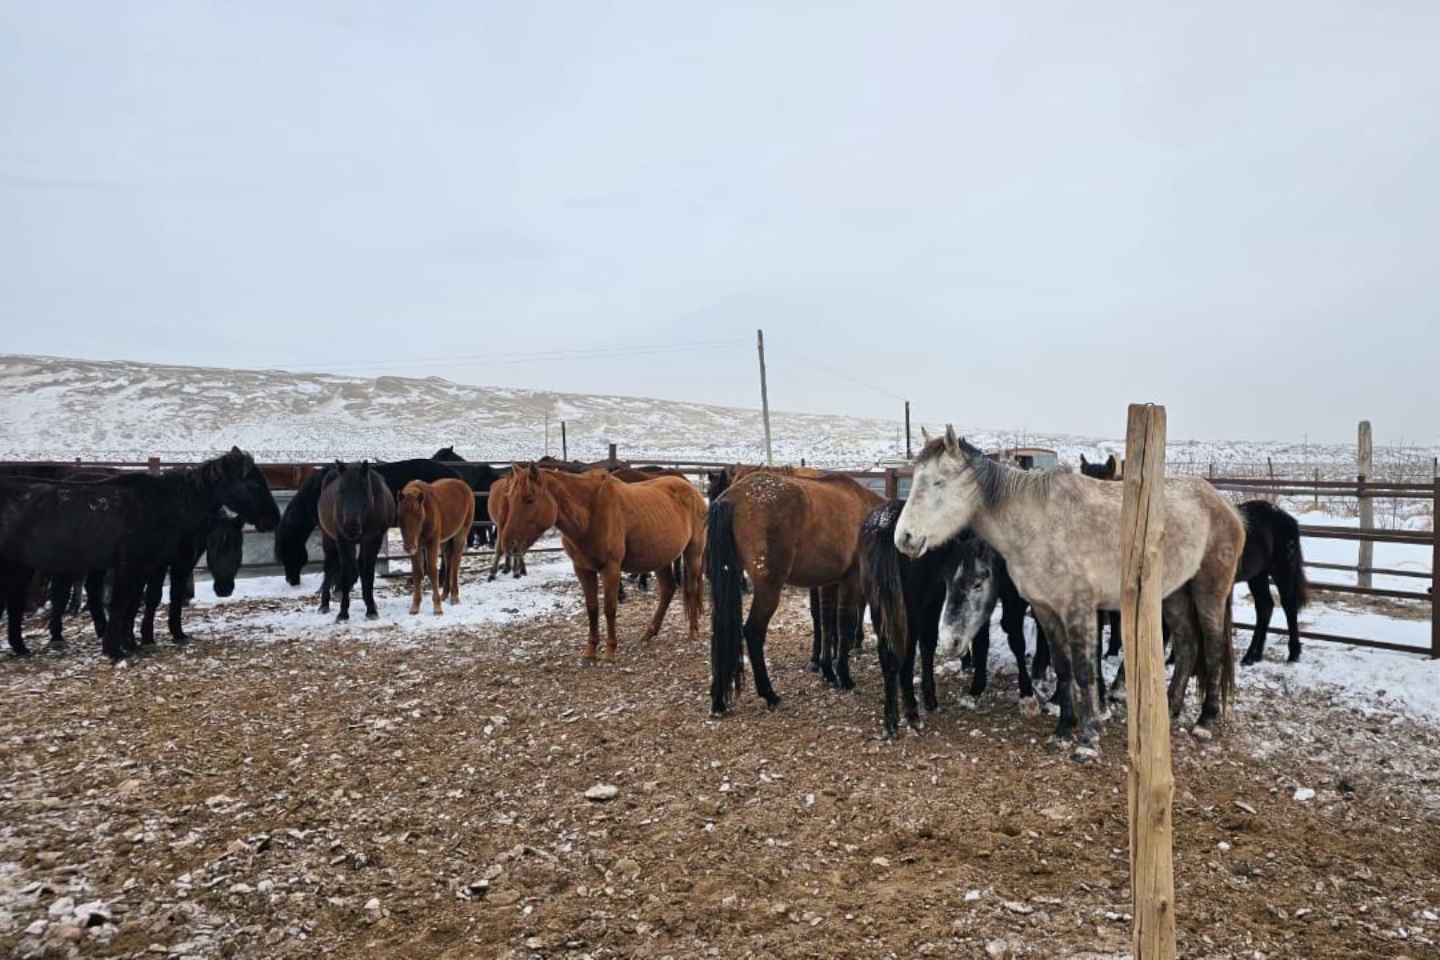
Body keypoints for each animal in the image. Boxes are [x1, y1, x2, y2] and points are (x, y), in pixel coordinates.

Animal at [315, 463, 394, 624]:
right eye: (341, 491)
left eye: (364, 491)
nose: (351, 526)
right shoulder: (344, 541)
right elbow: (346, 571)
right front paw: (343, 613)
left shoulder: (372, 540)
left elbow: (367, 572)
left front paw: (371, 609)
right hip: (329, 539)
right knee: (329, 567)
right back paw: (324, 604)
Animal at [397, 477, 475, 616]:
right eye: (400, 517)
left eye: (419, 516)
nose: (409, 547)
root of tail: (464, 485)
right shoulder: (418, 547)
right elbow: (417, 572)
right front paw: (415, 606)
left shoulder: (432, 543)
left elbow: (432, 571)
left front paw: (437, 607)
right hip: (445, 541)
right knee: (448, 561)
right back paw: (445, 594)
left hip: (461, 534)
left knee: (455, 563)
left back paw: (454, 596)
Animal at [506, 463, 708, 662]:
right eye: (510, 498)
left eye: (529, 499)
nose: (510, 544)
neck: (590, 514)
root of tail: (692, 489)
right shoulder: (583, 569)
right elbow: (592, 608)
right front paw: (590, 650)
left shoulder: (611, 569)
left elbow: (609, 608)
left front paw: (610, 651)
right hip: (661, 558)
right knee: (667, 590)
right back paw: (649, 633)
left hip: (693, 552)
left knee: (691, 588)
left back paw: (693, 632)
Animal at [705, 469, 881, 716]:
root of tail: (731, 498)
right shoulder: (850, 580)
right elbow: (843, 624)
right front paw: (844, 676)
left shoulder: (829, 583)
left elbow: (827, 624)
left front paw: (828, 670)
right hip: (769, 589)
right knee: (753, 632)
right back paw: (769, 694)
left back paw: (718, 700)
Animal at [892, 426, 1244, 759]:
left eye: (938, 482)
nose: (904, 538)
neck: (1038, 524)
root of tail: (1224, 503)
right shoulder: (1045, 609)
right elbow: (1063, 667)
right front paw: (1063, 729)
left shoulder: (1080, 609)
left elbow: (1085, 671)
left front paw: (1088, 739)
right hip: (1173, 594)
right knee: (1187, 645)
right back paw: (1171, 708)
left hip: (1210, 590)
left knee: (1213, 648)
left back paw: (1205, 721)